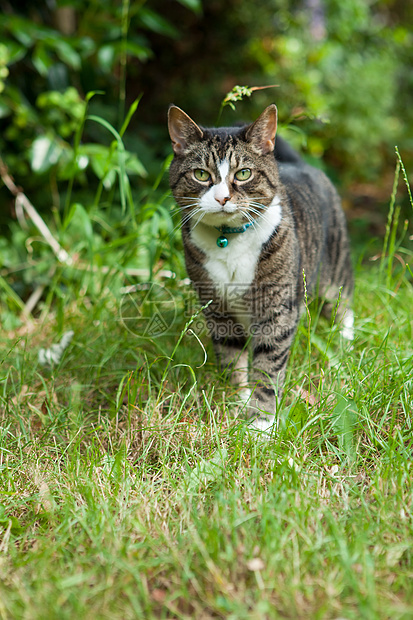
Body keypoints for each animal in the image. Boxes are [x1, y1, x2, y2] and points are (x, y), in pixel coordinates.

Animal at [166, 104, 352, 432]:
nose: (222, 198)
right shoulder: (217, 309)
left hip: (336, 266)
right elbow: (231, 358)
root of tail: (300, 165)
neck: (228, 239)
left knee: (344, 303)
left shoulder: (276, 310)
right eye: (201, 174)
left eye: (243, 173)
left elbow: (268, 365)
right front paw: (235, 402)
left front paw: (260, 423)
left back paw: (346, 341)